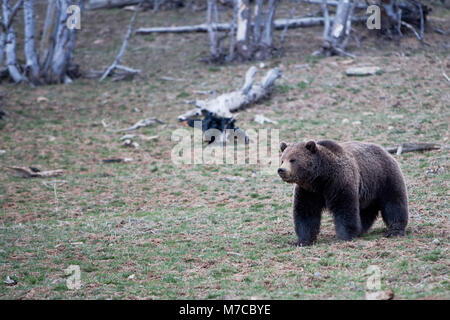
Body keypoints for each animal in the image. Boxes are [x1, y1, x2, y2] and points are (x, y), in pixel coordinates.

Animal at [278, 139, 408, 246]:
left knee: (394, 203)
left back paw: (395, 230)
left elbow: (344, 207)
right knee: (366, 211)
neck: (320, 178)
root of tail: (385, 151)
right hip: (368, 190)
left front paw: (345, 236)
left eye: (293, 159)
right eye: (282, 160)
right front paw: (302, 240)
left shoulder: (339, 181)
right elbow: (306, 212)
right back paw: (361, 229)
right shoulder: (309, 191)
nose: (281, 170)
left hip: (384, 177)